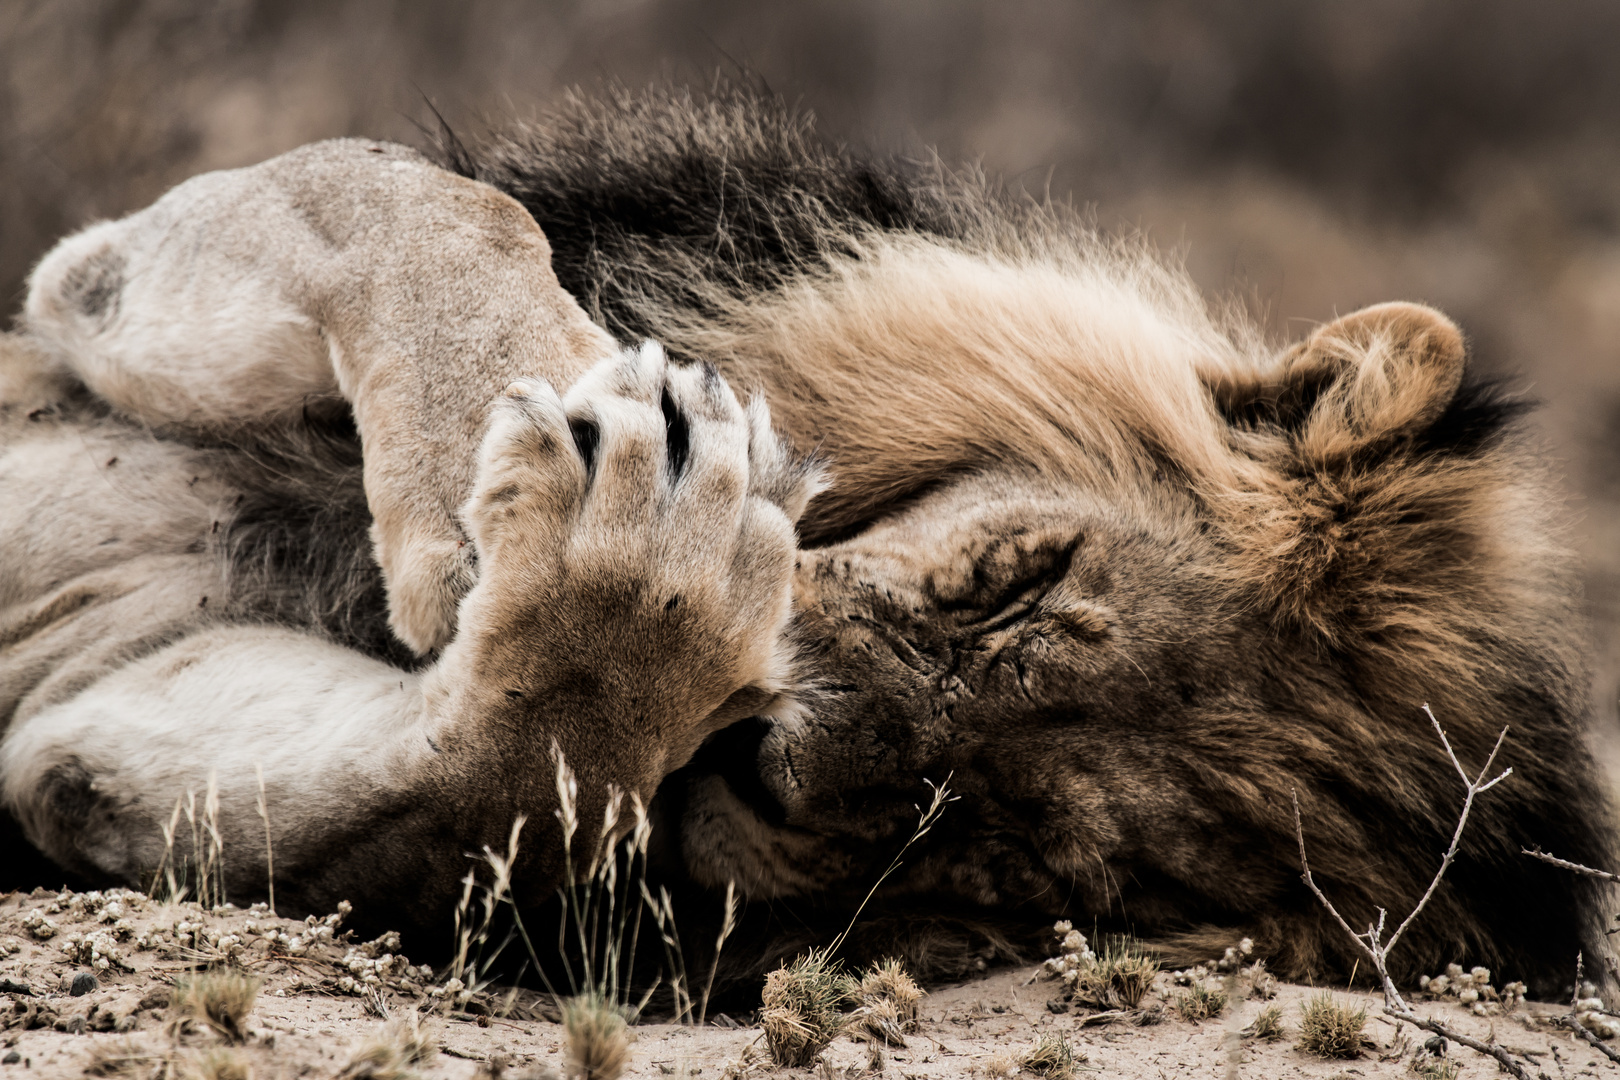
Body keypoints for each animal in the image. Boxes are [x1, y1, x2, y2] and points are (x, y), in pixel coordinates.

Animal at [0, 82, 1613, 997]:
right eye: (1015, 584)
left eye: (1026, 855)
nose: (763, 753)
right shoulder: (96, 290)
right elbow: (399, 189)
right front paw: (515, 448)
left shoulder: (101, 707)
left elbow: (490, 762)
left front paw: (623, 583)